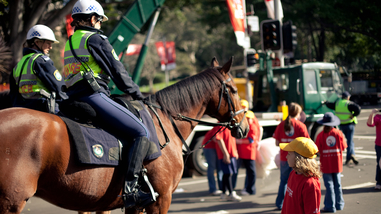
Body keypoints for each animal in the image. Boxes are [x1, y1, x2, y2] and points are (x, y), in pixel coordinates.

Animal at [0, 57, 248, 214]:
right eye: (234, 90)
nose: (244, 127)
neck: (164, 123)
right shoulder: (161, 201)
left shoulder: (134, 206)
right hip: (10, 202)